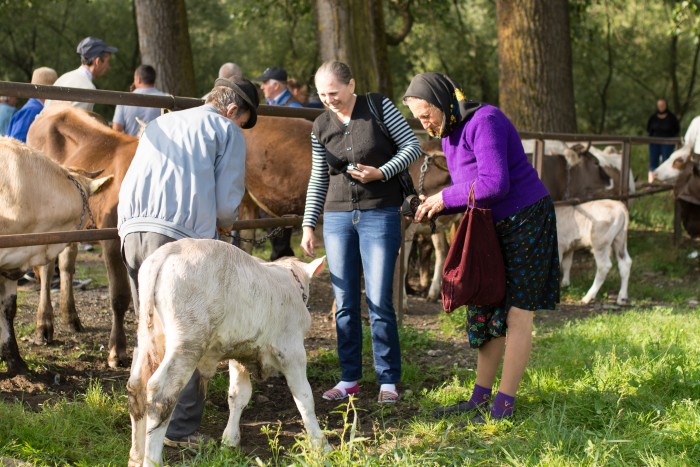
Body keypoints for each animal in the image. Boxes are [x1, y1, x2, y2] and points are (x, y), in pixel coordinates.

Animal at [126, 241, 328, 467]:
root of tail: (169, 251)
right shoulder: (293, 352)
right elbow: (304, 397)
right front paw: (320, 444)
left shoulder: (240, 354)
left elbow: (238, 395)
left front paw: (230, 440)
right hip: (187, 343)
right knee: (161, 394)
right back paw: (151, 459)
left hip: (148, 336)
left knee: (136, 387)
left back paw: (135, 457)